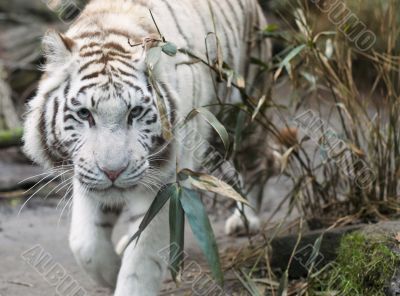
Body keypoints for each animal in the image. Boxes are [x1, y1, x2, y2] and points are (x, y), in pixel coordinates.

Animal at [22, 1, 276, 294]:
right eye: (85, 114)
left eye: (135, 112)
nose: (113, 172)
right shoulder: (86, 176)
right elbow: (86, 243)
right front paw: (111, 272)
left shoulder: (166, 186)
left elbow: (141, 259)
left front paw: (125, 276)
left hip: (240, 113)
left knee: (259, 163)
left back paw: (247, 218)